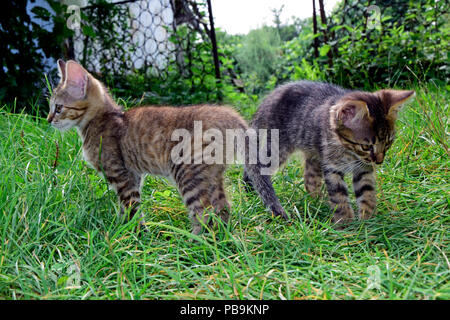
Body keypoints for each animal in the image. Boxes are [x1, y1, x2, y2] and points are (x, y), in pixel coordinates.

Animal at [47, 59, 286, 232]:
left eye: (58, 108)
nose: (48, 120)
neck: (103, 118)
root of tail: (228, 115)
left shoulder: (120, 175)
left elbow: (131, 206)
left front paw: (136, 236)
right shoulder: (133, 175)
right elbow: (126, 207)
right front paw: (122, 230)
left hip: (187, 172)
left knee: (203, 211)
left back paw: (194, 244)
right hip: (211, 175)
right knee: (222, 207)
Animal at [244, 80, 416, 225]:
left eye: (388, 143)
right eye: (366, 147)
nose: (379, 161)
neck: (348, 151)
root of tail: (268, 99)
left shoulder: (363, 168)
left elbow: (367, 192)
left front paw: (369, 221)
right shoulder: (332, 167)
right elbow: (338, 195)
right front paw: (346, 224)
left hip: (312, 153)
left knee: (310, 179)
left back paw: (317, 202)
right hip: (276, 147)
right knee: (255, 166)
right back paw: (253, 192)